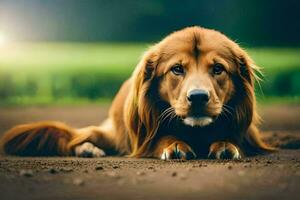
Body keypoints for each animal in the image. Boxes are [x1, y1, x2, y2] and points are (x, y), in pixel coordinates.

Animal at [0, 27, 274, 161]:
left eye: (218, 69)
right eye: (177, 69)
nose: (197, 97)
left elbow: (231, 138)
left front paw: (226, 144)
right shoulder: (145, 135)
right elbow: (163, 137)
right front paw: (174, 144)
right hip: (113, 134)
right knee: (76, 138)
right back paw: (88, 149)